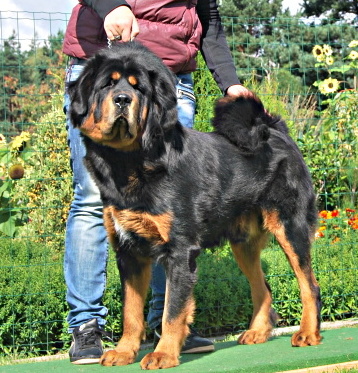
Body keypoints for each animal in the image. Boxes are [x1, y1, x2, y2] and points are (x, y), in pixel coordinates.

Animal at [68, 42, 324, 368]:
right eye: (108, 84)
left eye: (138, 88)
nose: (123, 99)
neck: (128, 161)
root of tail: (275, 129)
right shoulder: (129, 252)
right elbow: (131, 312)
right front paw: (125, 351)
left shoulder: (179, 249)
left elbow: (172, 310)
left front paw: (163, 353)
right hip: (243, 244)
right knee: (263, 289)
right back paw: (257, 332)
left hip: (290, 228)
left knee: (309, 286)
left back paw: (307, 333)